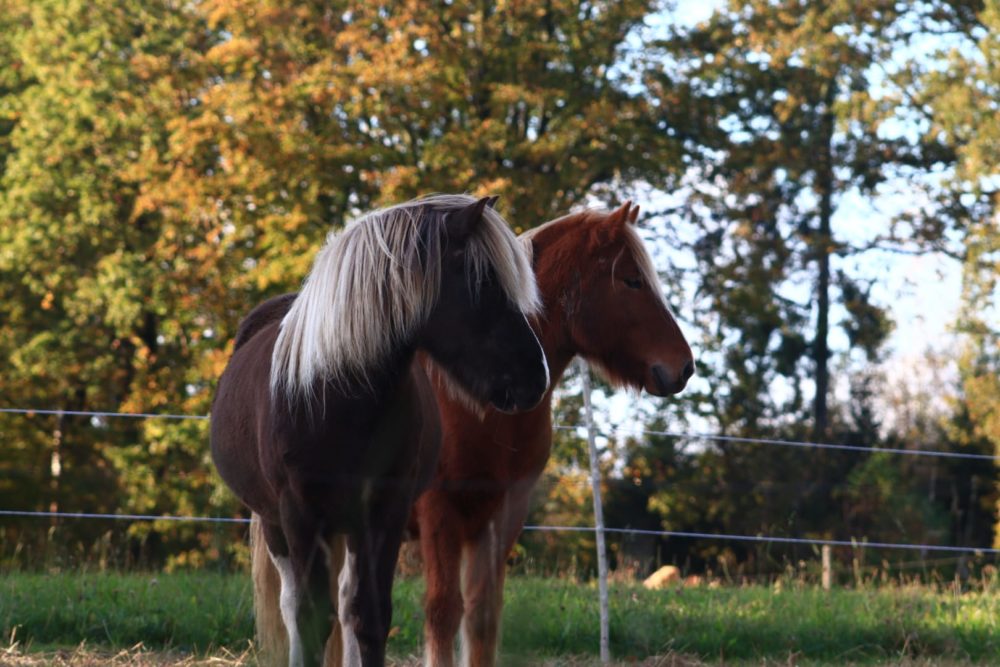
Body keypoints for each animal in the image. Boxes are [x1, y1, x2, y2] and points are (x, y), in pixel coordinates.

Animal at [212, 194, 552, 667]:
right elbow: (310, 618)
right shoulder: (300, 514)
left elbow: (369, 617)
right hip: (277, 522)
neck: (337, 400)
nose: (535, 378)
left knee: (346, 603)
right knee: (293, 605)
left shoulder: (385, 510)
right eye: (483, 284)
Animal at [416, 201, 696, 664]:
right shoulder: (440, 511)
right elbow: (442, 611)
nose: (684, 367)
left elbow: (482, 614)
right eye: (632, 280)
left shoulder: (501, 515)